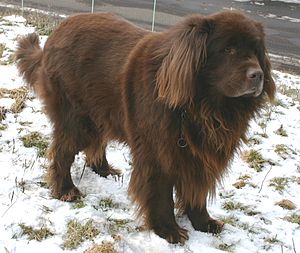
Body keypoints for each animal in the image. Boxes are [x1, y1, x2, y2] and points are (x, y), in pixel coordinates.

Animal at [15, 10, 276, 243]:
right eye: (228, 50)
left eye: (256, 51)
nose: (258, 75)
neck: (202, 107)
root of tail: (57, 31)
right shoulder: (158, 153)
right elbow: (161, 194)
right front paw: (168, 230)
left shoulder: (198, 155)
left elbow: (197, 190)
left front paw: (203, 223)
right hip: (76, 118)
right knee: (63, 152)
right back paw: (65, 189)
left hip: (100, 111)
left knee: (96, 142)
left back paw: (104, 170)